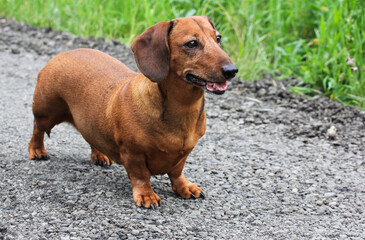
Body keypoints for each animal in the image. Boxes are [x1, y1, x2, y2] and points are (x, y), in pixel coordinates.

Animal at [29, 15, 239, 209]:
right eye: (192, 43)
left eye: (218, 38)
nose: (232, 70)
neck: (183, 108)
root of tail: (62, 54)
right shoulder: (132, 153)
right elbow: (141, 176)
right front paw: (147, 195)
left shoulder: (184, 153)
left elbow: (177, 173)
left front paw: (184, 187)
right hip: (47, 112)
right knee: (37, 129)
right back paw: (37, 151)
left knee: (90, 136)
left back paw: (99, 155)